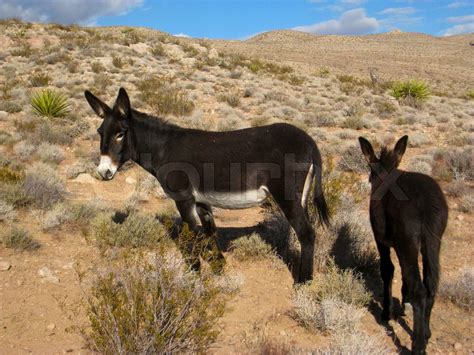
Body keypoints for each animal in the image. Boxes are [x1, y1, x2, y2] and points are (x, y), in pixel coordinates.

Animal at [360, 135, 448, 354]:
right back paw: (426, 333)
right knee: (430, 285)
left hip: (406, 242)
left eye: (371, 173)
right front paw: (402, 302)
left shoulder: (381, 239)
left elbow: (387, 269)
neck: (386, 173)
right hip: (432, 242)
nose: (370, 180)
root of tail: (427, 203)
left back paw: (417, 346)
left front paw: (386, 313)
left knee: (420, 290)